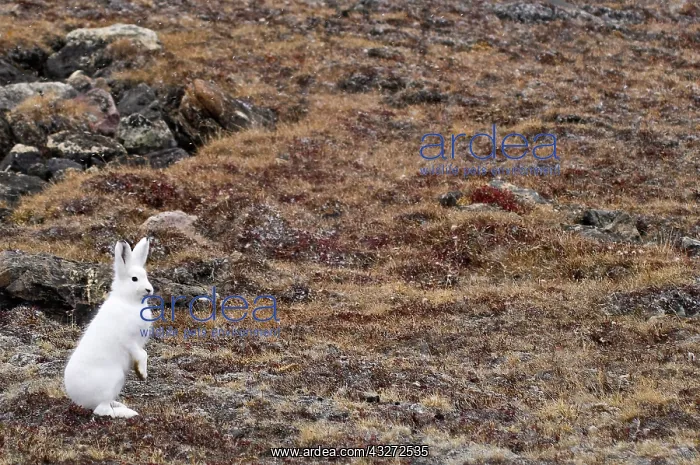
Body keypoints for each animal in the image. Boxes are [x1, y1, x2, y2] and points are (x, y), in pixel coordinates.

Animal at [64, 237, 154, 418]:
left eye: (146, 276)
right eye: (134, 279)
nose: (149, 289)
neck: (128, 301)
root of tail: (79, 400)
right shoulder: (129, 340)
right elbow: (142, 354)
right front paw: (142, 374)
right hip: (114, 379)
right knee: (102, 411)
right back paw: (127, 413)